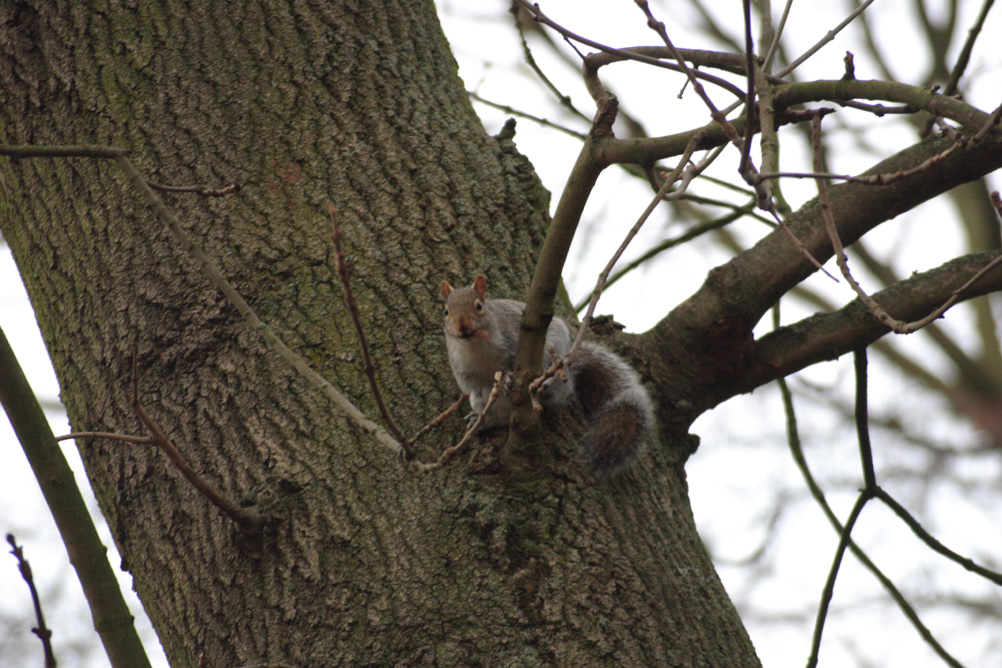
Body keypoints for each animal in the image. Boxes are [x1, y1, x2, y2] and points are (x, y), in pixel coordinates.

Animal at [440, 274, 655, 478]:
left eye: (479, 306)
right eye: (446, 312)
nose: (462, 327)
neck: (475, 345)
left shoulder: (513, 340)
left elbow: (515, 365)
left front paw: (508, 378)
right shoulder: (460, 364)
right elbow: (469, 386)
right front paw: (475, 399)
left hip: (555, 355)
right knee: (503, 417)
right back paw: (482, 418)